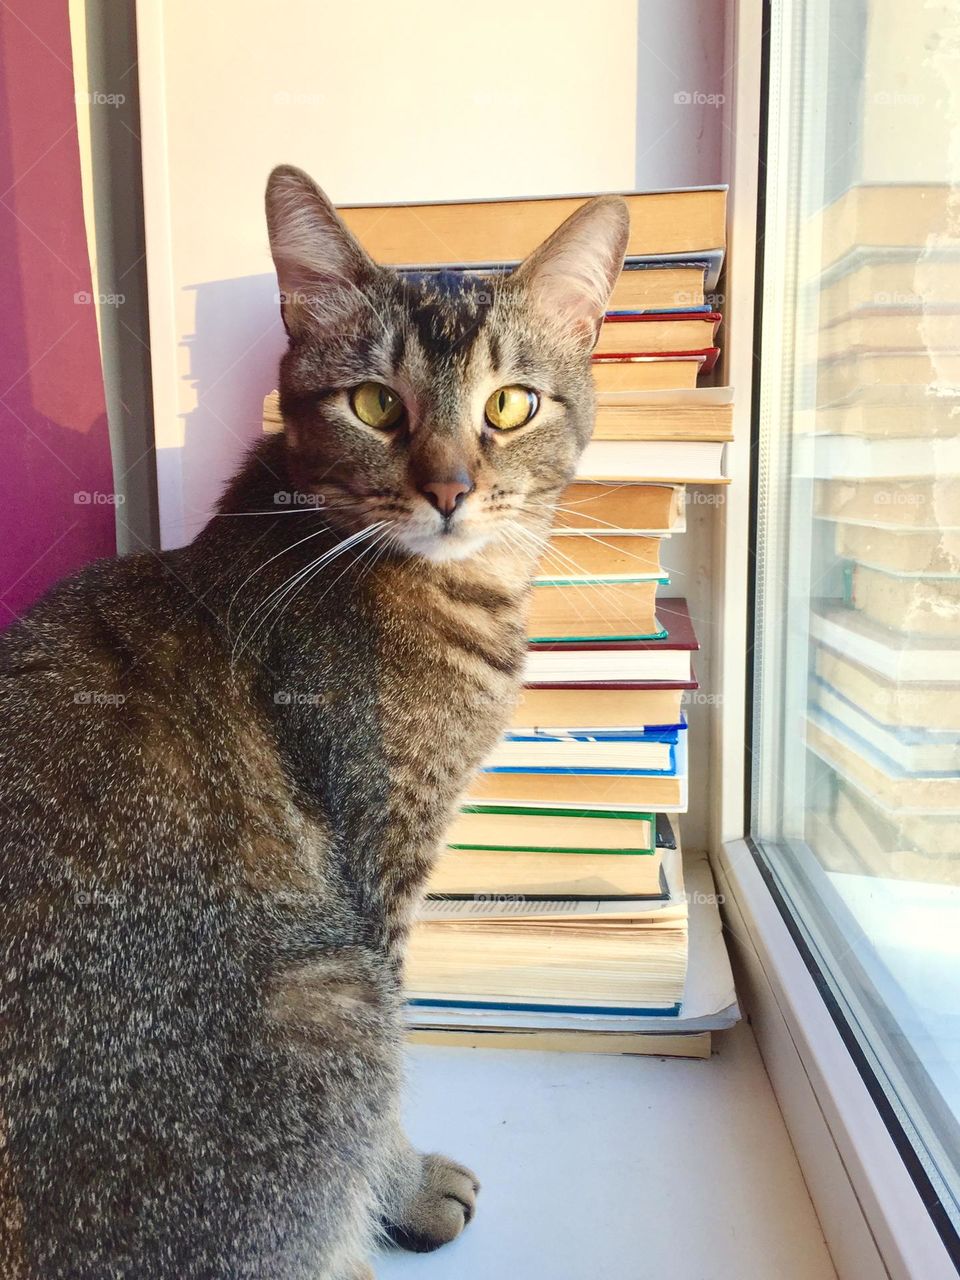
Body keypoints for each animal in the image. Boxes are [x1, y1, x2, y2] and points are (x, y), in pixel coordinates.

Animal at [0, 165, 632, 1274]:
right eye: (376, 404)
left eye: (509, 404)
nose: (451, 488)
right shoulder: (378, 874)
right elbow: (397, 1074)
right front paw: (405, 1186)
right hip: (329, 1000)